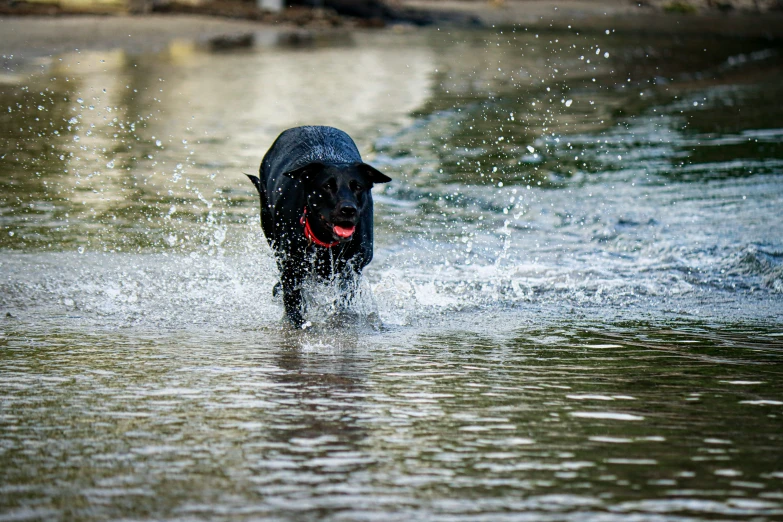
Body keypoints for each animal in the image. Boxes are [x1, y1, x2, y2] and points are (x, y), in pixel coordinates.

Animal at [247, 125, 390, 324]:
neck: (325, 240)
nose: (348, 209)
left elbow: (343, 297)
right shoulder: (291, 264)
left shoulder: (353, 268)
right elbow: (293, 301)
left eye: (358, 186)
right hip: (269, 227)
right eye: (327, 186)